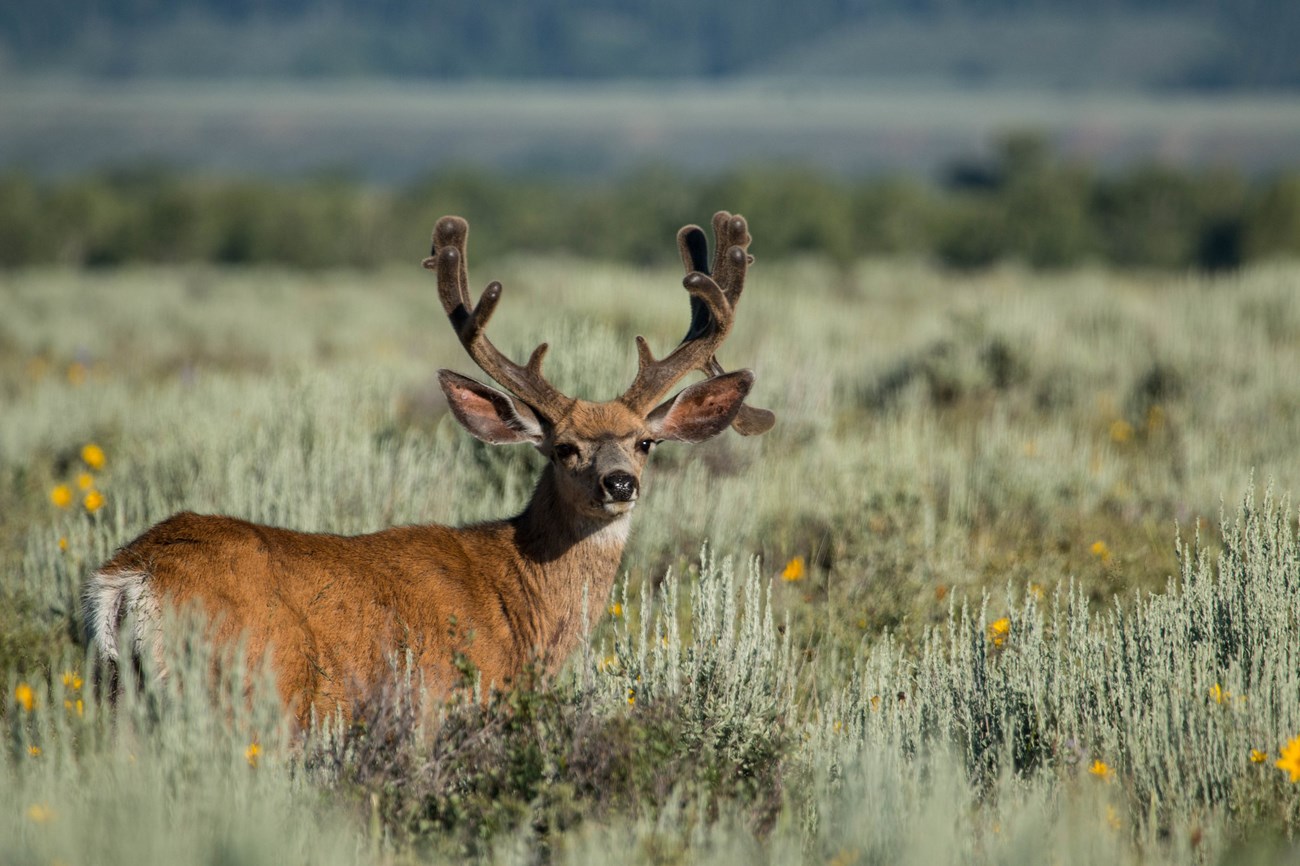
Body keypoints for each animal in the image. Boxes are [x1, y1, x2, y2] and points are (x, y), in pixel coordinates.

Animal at [86, 210, 769, 722]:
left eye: (646, 443)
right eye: (563, 447)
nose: (618, 482)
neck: (523, 600)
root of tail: (131, 576)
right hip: (249, 692)